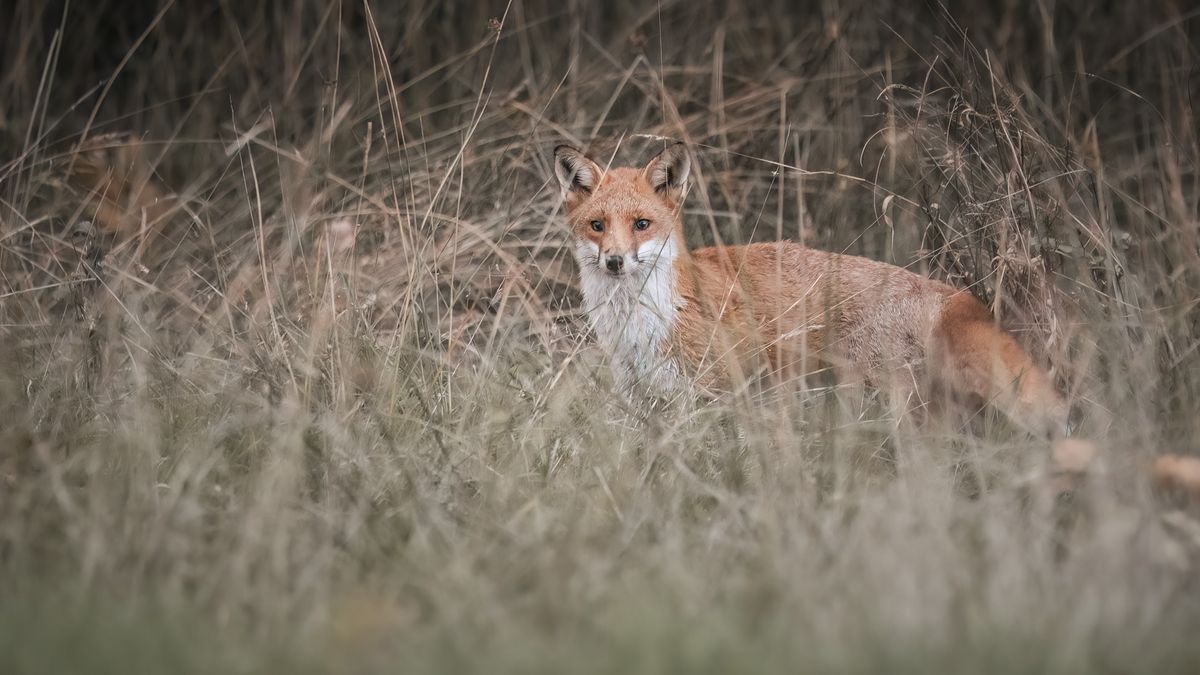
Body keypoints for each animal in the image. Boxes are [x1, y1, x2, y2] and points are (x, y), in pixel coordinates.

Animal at [553, 141, 1072, 439]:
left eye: (642, 224)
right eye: (598, 226)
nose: (615, 261)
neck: (641, 320)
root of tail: (956, 297)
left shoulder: (708, 395)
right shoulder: (639, 396)